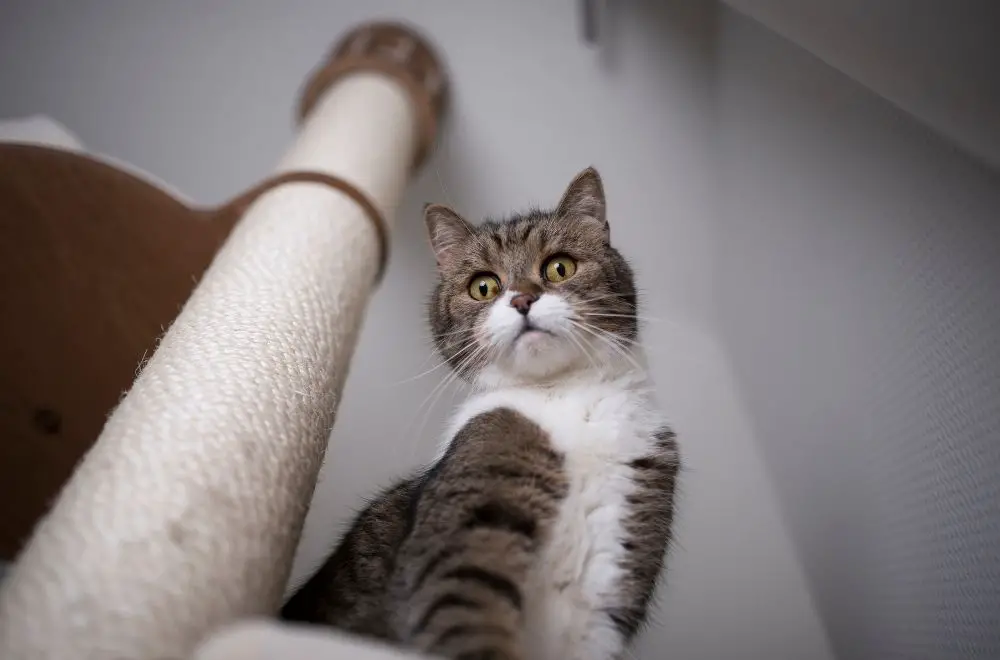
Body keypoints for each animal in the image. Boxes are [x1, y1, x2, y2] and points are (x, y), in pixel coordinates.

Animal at [282, 168, 680, 656]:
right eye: (484, 286)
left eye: (559, 267)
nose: (522, 299)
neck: (565, 397)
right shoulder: (476, 499)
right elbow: (462, 596)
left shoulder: (621, 557)